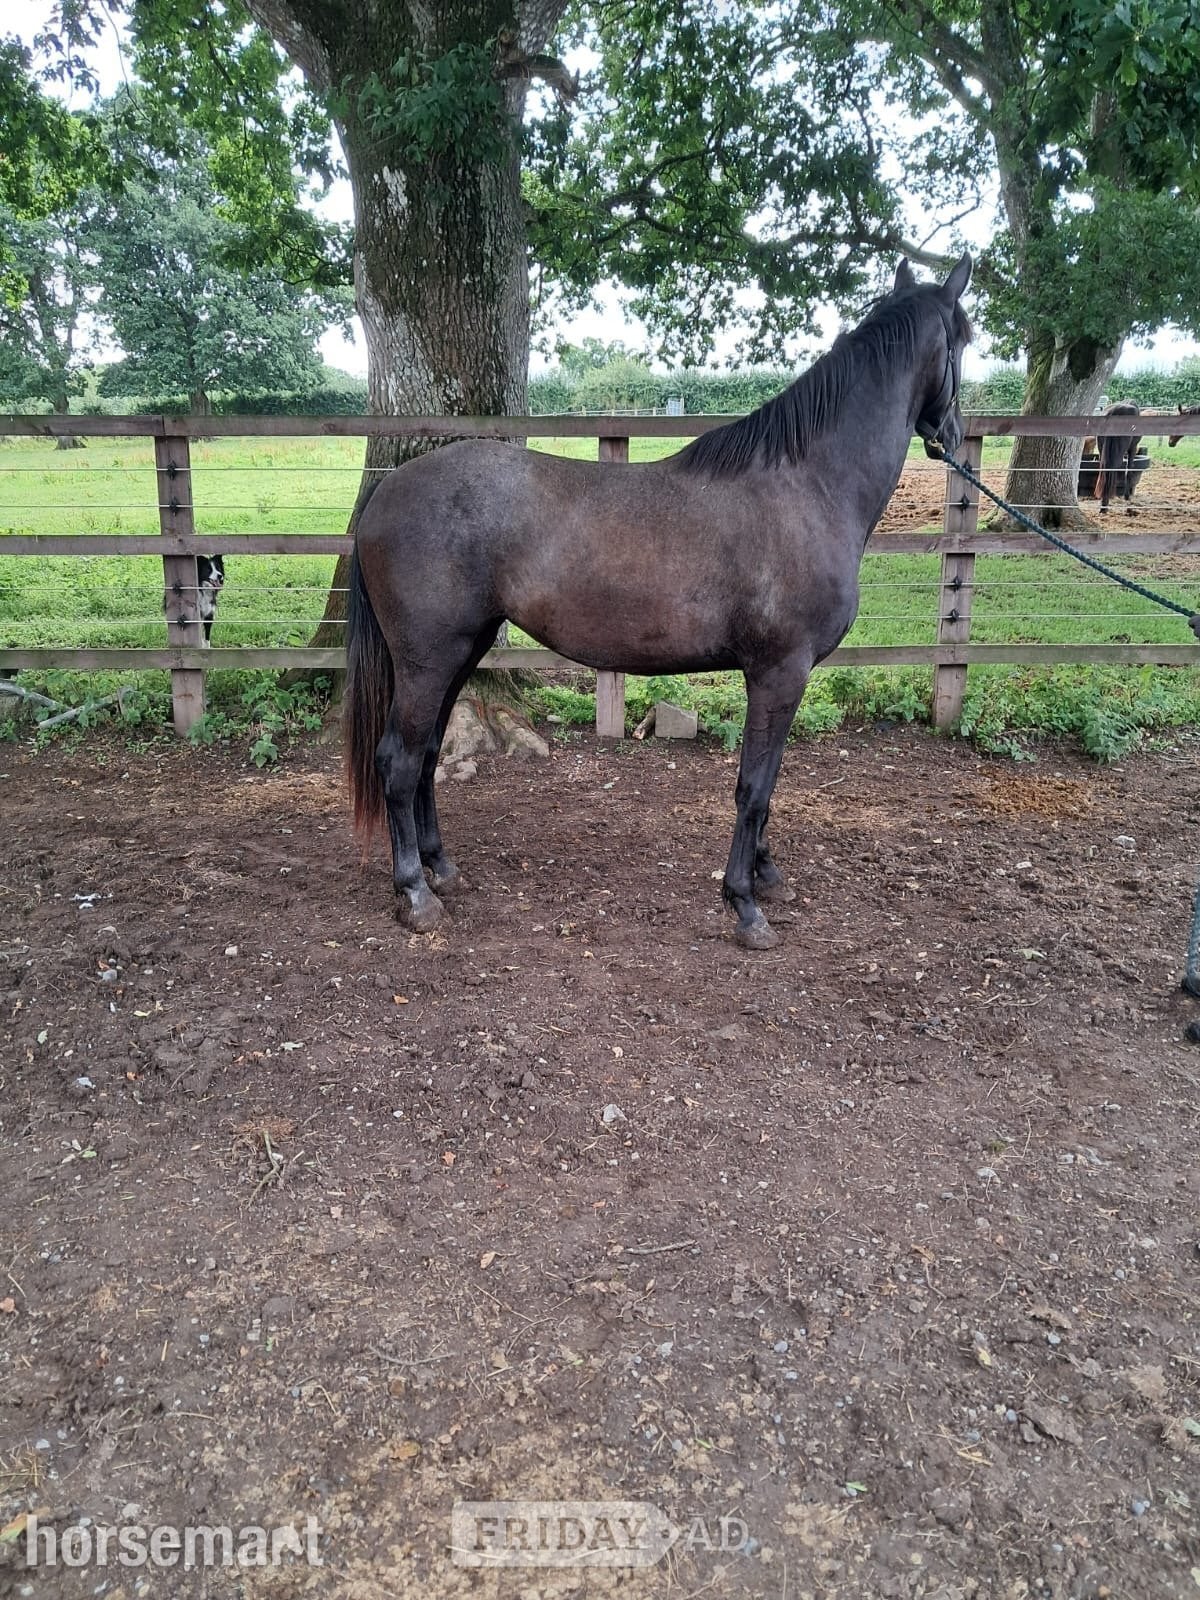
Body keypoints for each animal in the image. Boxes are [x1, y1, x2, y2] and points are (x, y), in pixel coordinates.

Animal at [344, 254, 973, 950]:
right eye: (965, 341)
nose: (953, 434)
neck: (807, 487)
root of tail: (386, 494)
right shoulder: (780, 671)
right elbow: (755, 785)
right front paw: (745, 903)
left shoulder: (781, 676)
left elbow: (767, 781)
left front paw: (766, 874)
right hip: (428, 660)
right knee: (399, 761)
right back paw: (415, 893)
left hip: (461, 652)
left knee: (428, 753)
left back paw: (442, 868)